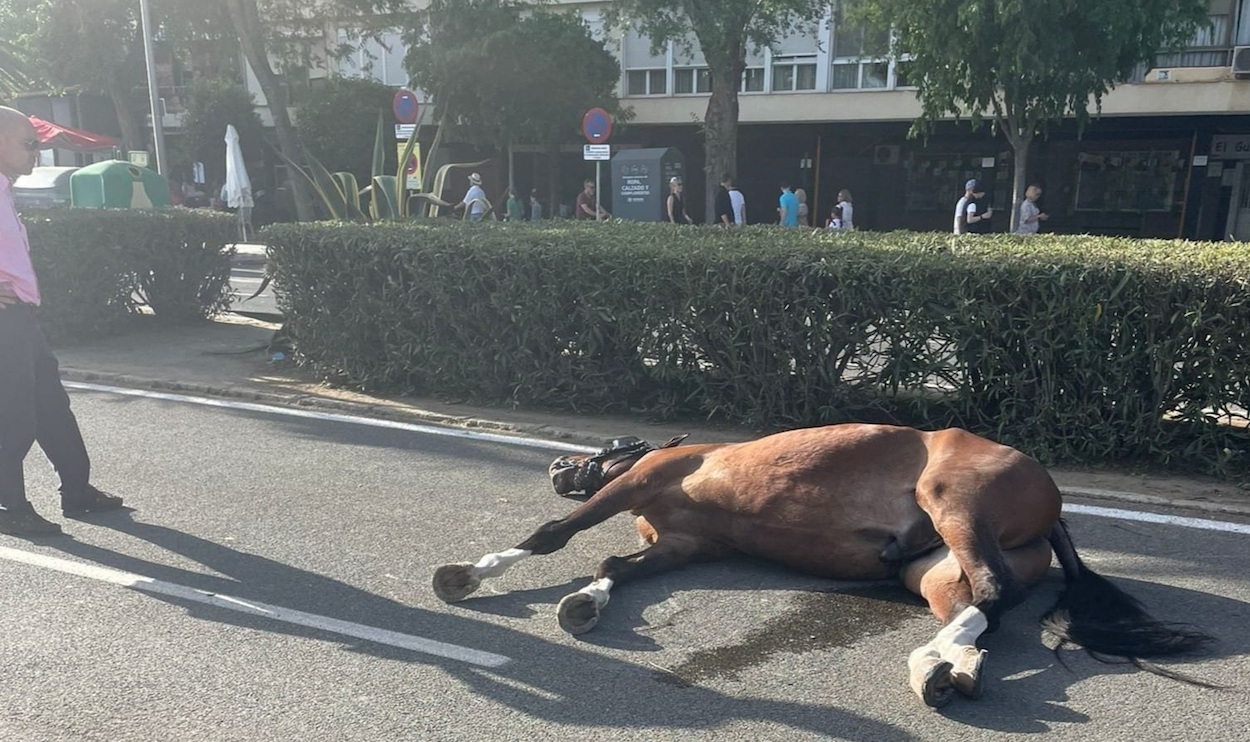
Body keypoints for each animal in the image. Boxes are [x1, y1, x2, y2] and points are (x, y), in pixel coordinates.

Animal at [435, 422, 1215, 704]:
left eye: (605, 448)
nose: (558, 466)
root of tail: (1053, 506)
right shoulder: (684, 545)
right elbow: (616, 564)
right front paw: (586, 603)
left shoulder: (639, 483)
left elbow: (557, 534)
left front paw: (470, 574)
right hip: (933, 569)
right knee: (980, 608)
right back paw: (946, 666)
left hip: (954, 505)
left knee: (992, 592)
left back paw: (932, 664)